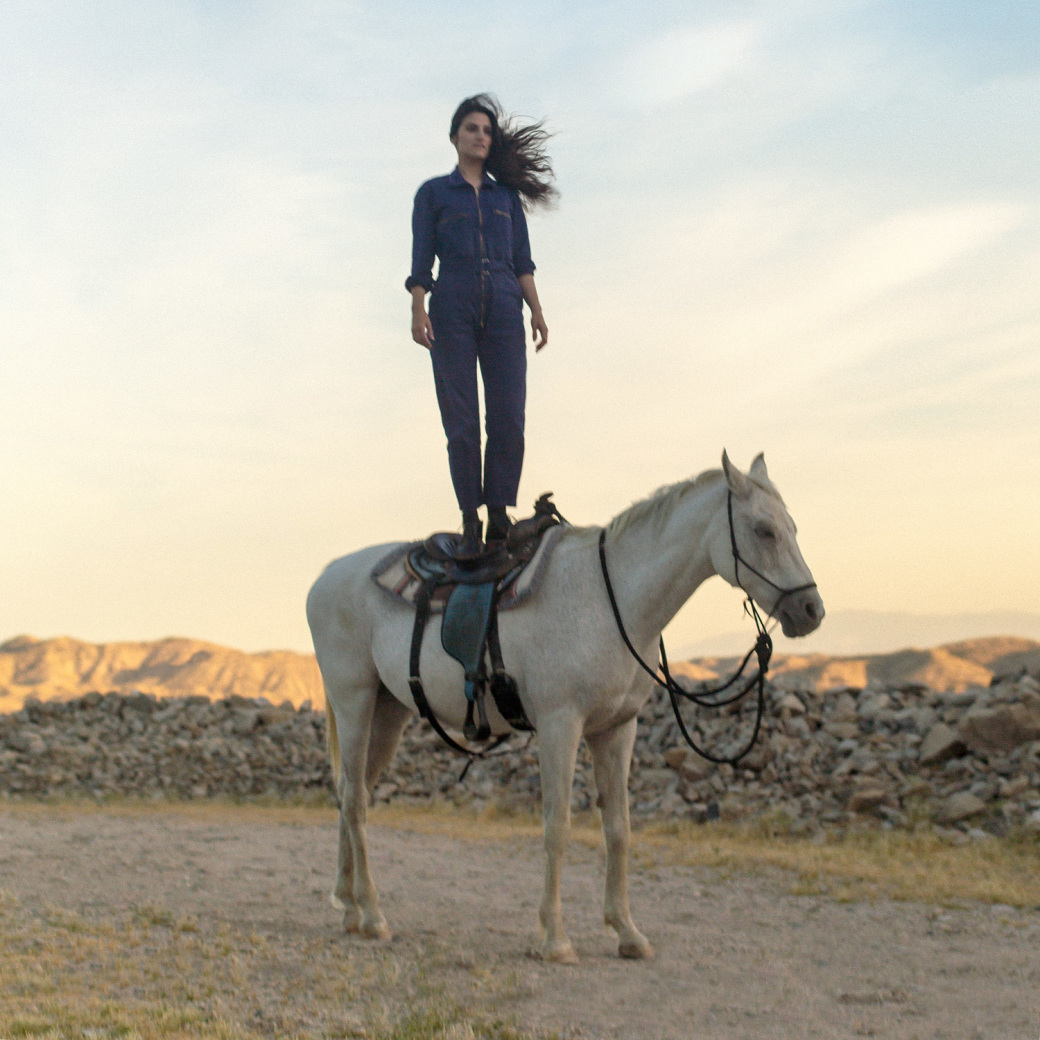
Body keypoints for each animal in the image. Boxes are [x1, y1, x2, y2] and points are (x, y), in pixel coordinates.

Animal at [303, 451, 823, 960]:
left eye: (793, 527)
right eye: (764, 530)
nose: (811, 611)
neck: (612, 601)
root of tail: (324, 576)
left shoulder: (617, 729)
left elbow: (619, 828)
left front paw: (627, 931)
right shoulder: (560, 725)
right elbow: (558, 827)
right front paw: (555, 938)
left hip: (389, 712)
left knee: (352, 794)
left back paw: (348, 906)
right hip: (354, 702)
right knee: (355, 801)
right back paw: (372, 916)